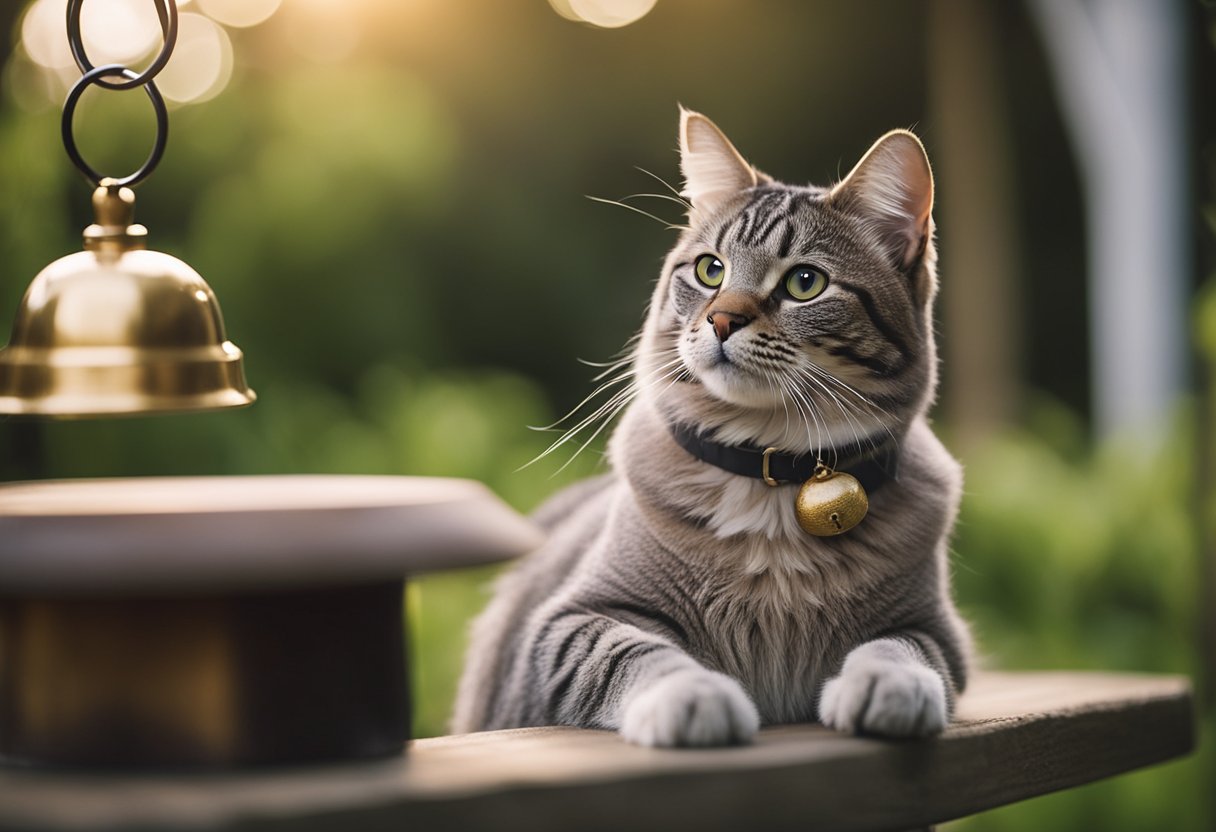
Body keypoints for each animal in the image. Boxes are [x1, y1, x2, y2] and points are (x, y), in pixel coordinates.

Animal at [452, 105, 972, 749]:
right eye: (710, 270)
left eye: (805, 283)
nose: (722, 320)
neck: (772, 481)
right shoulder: (565, 624)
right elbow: (635, 653)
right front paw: (695, 697)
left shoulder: (937, 632)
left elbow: (900, 648)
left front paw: (891, 686)